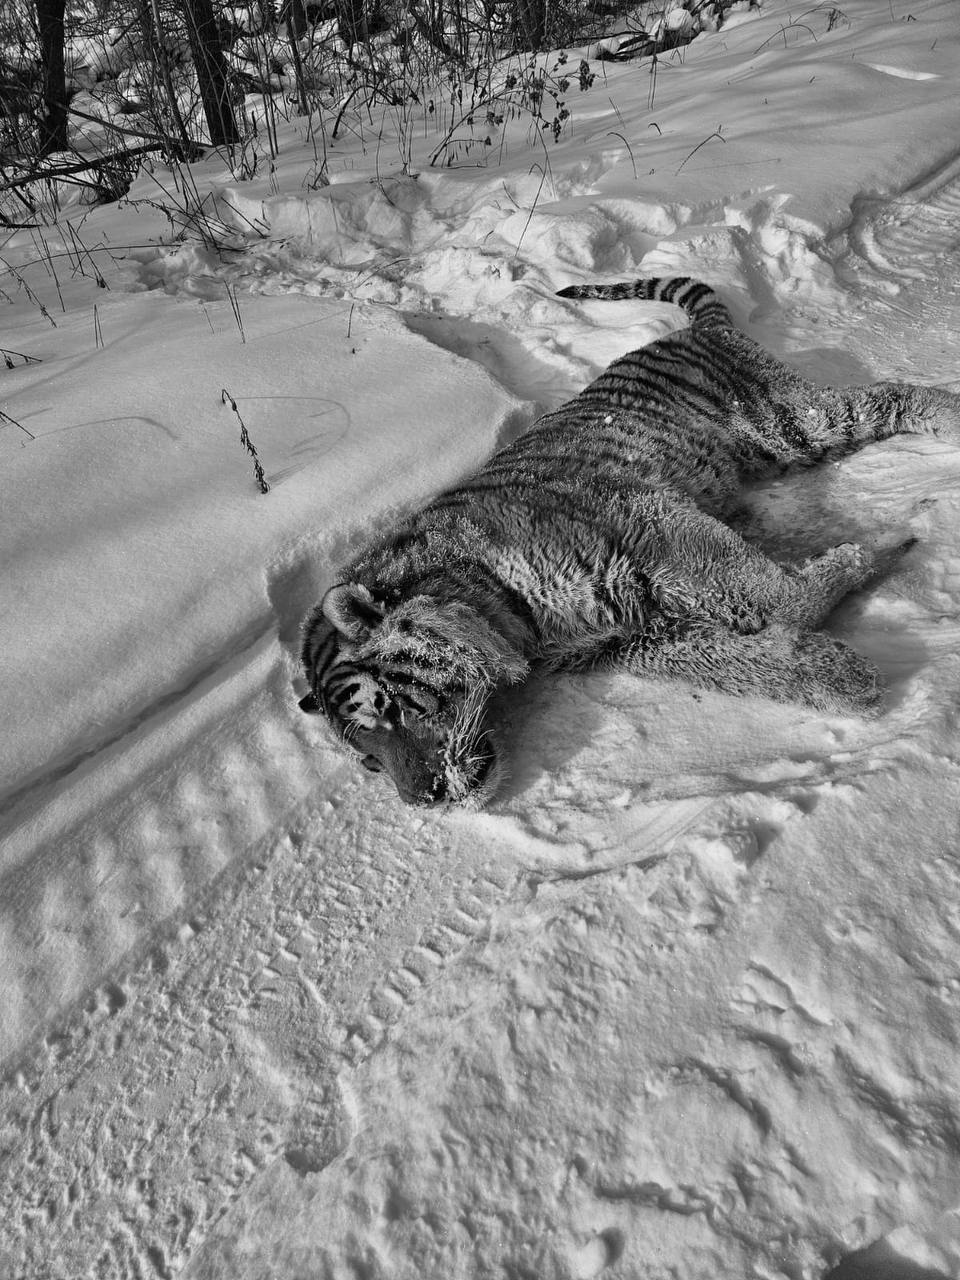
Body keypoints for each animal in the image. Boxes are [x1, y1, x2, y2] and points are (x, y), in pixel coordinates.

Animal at [300, 275, 960, 803]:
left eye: (389, 707)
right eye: (368, 761)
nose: (426, 801)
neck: (504, 615)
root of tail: (691, 331)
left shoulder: (650, 519)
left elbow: (781, 598)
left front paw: (871, 550)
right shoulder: (626, 636)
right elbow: (728, 660)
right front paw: (843, 676)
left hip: (792, 424)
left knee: (890, 395)